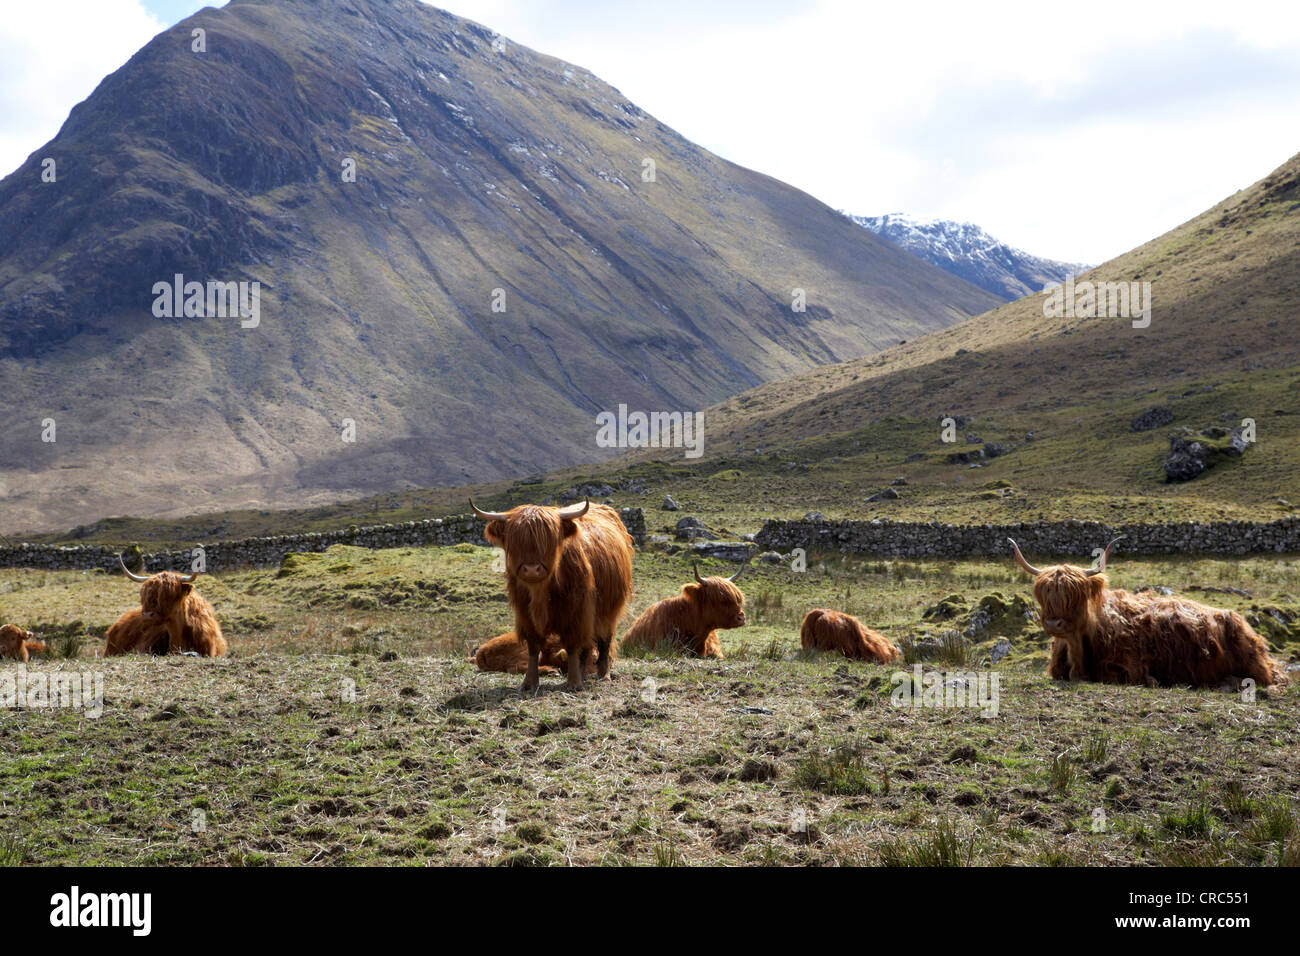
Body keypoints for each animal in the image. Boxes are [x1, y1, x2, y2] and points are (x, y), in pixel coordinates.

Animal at [471, 499, 634, 691]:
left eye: (548, 540)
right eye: (515, 540)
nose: (531, 569)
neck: (541, 592)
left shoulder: (577, 614)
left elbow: (573, 646)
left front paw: (573, 682)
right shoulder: (525, 615)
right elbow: (534, 647)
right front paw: (529, 683)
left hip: (608, 610)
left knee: (604, 640)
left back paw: (604, 675)